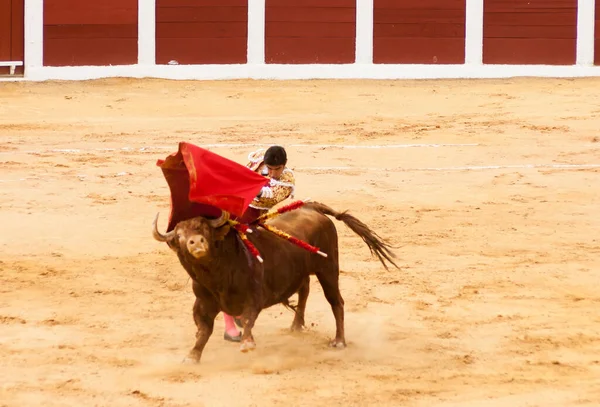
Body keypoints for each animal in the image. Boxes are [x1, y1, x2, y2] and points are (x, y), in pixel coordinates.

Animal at [152, 201, 398, 364]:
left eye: (204, 228)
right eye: (179, 236)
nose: (196, 242)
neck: (218, 276)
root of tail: (313, 210)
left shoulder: (254, 296)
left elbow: (248, 319)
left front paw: (247, 344)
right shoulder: (202, 304)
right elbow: (203, 330)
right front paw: (192, 356)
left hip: (328, 269)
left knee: (336, 301)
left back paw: (338, 341)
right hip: (303, 271)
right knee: (304, 290)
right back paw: (296, 325)